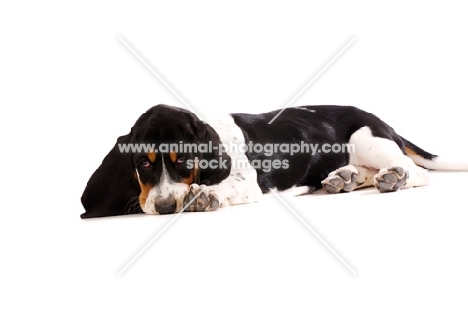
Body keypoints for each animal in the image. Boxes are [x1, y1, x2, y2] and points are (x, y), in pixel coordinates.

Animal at [81, 105, 468, 219]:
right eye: (143, 164)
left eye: (183, 161)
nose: (163, 208)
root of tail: (384, 122)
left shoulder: (246, 182)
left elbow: (222, 187)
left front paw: (205, 195)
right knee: (362, 173)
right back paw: (341, 179)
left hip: (366, 139)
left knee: (416, 171)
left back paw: (394, 176)